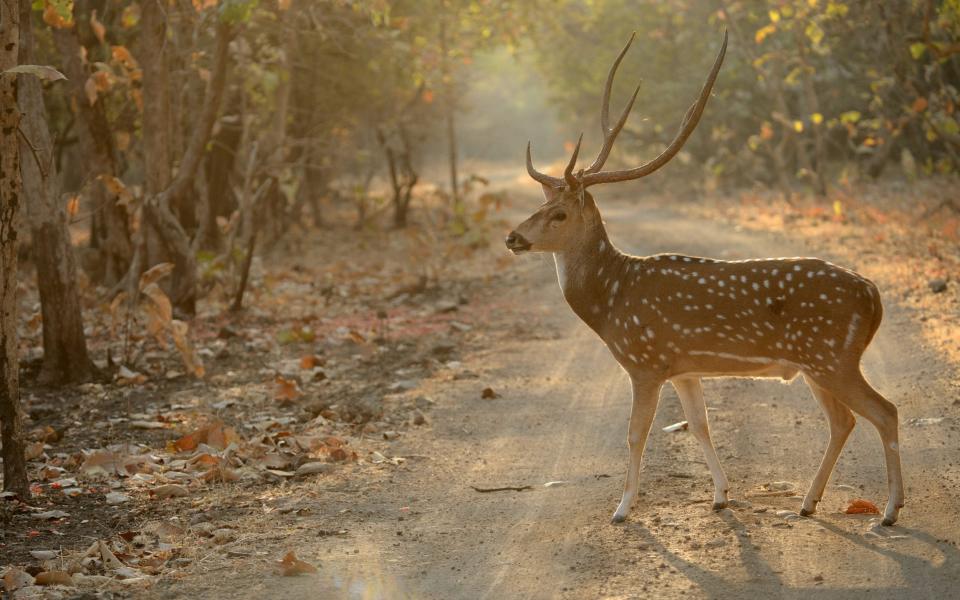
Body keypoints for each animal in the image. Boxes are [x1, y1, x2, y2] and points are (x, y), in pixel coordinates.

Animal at [506, 32, 904, 528]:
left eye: (558, 214)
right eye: (538, 206)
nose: (513, 237)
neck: (611, 302)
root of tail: (873, 295)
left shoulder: (646, 361)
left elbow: (636, 433)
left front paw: (621, 509)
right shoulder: (684, 367)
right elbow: (700, 425)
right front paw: (720, 496)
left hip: (834, 356)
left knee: (884, 411)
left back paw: (888, 511)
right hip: (818, 363)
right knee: (844, 421)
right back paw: (808, 502)